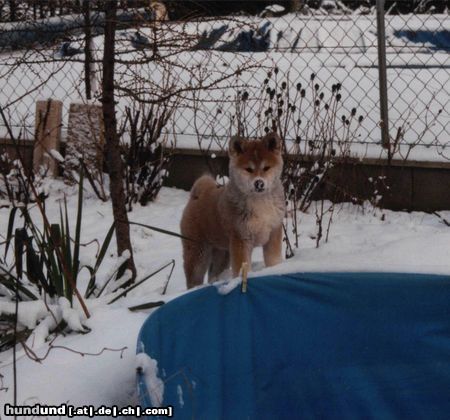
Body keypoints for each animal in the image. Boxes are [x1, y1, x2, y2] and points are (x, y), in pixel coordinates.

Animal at [179, 132, 284, 288]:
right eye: (248, 169)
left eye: (266, 168)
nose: (259, 183)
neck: (260, 202)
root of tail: (197, 195)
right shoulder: (241, 239)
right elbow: (242, 269)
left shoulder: (273, 234)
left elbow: (274, 261)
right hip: (198, 253)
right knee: (193, 279)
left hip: (222, 253)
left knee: (213, 274)